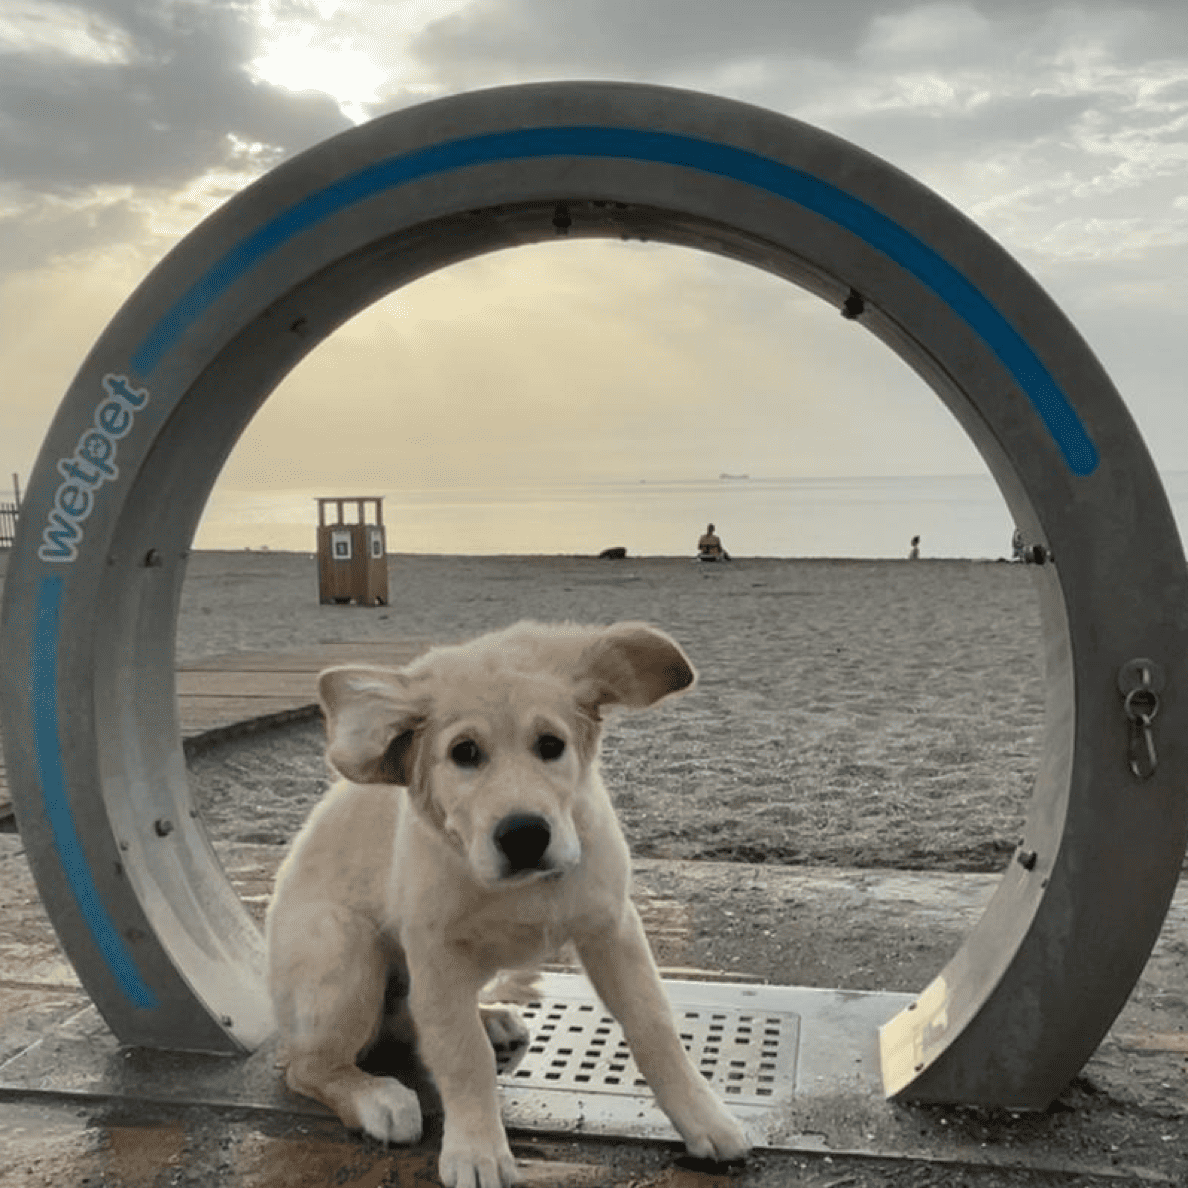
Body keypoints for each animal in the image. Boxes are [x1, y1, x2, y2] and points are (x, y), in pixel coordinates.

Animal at [267, 622, 750, 1188]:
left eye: (551, 745)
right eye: (464, 753)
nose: (524, 835)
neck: (523, 887)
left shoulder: (612, 926)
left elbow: (654, 1027)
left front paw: (704, 1118)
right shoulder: (437, 954)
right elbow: (461, 1054)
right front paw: (476, 1149)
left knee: (406, 1019)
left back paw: (489, 1017)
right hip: (345, 955)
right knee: (308, 1065)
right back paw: (376, 1098)